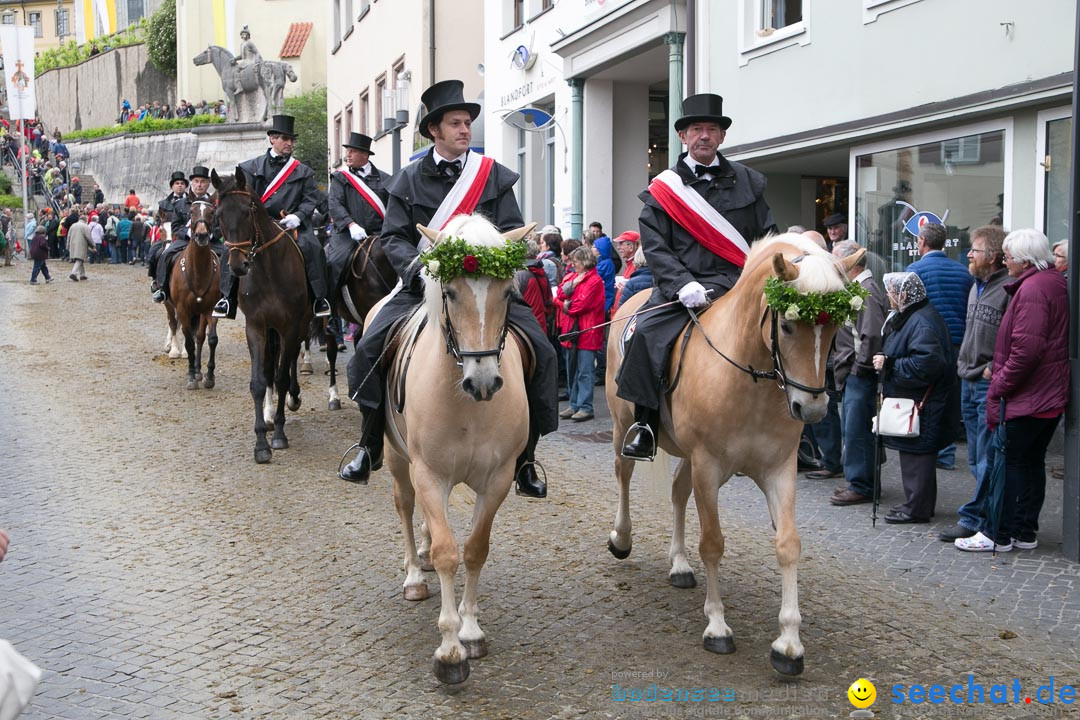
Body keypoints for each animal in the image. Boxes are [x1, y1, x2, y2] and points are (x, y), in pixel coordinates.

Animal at [166, 199, 219, 390]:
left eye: (212, 212)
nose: (201, 235)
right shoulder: (182, 309)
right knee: (174, 324)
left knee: (200, 337)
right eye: (191, 212)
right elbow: (188, 342)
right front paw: (190, 377)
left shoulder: (211, 309)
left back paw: (198, 370)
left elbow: (211, 339)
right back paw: (176, 352)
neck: (197, 271)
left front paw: (209, 375)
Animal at [210, 168, 311, 462]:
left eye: (248, 211)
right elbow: (259, 380)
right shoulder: (256, 327)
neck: (268, 270)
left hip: (299, 326)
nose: (238, 265)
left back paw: (292, 398)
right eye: (219, 215)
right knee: (269, 367)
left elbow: (281, 376)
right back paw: (268, 414)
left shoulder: (290, 327)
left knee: (290, 363)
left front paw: (279, 435)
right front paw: (261, 443)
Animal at [375, 215, 535, 686]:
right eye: (449, 292)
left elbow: (475, 548)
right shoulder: (429, 474)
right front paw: (449, 650)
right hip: (398, 459)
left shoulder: (497, 479)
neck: (467, 405)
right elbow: (448, 551)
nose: (483, 382)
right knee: (405, 506)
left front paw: (471, 630)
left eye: (508, 292)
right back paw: (414, 573)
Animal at [609, 235, 868, 677]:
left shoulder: (779, 470)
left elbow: (788, 544)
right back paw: (622, 538)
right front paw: (717, 626)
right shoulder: (708, 465)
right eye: (787, 324)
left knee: (677, 493)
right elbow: (713, 543)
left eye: (836, 326)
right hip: (624, 425)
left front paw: (788, 644)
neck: (752, 381)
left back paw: (679, 564)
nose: (813, 410)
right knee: (623, 474)